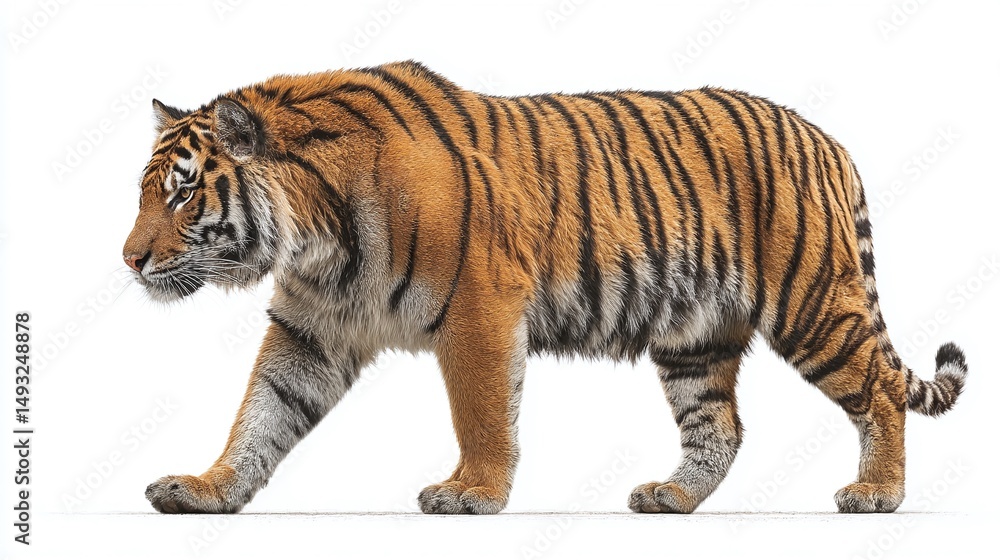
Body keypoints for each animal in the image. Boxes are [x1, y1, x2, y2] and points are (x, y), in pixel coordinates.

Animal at [124, 60, 967, 515]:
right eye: (146, 193)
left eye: (182, 194)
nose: (128, 261)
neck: (316, 234)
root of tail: (826, 137)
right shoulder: (313, 327)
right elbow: (261, 414)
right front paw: (207, 488)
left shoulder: (479, 309)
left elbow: (481, 413)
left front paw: (470, 494)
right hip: (696, 335)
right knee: (720, 427)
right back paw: (671, 499)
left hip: (813, 304)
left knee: (880, 392)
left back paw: (877, 494)